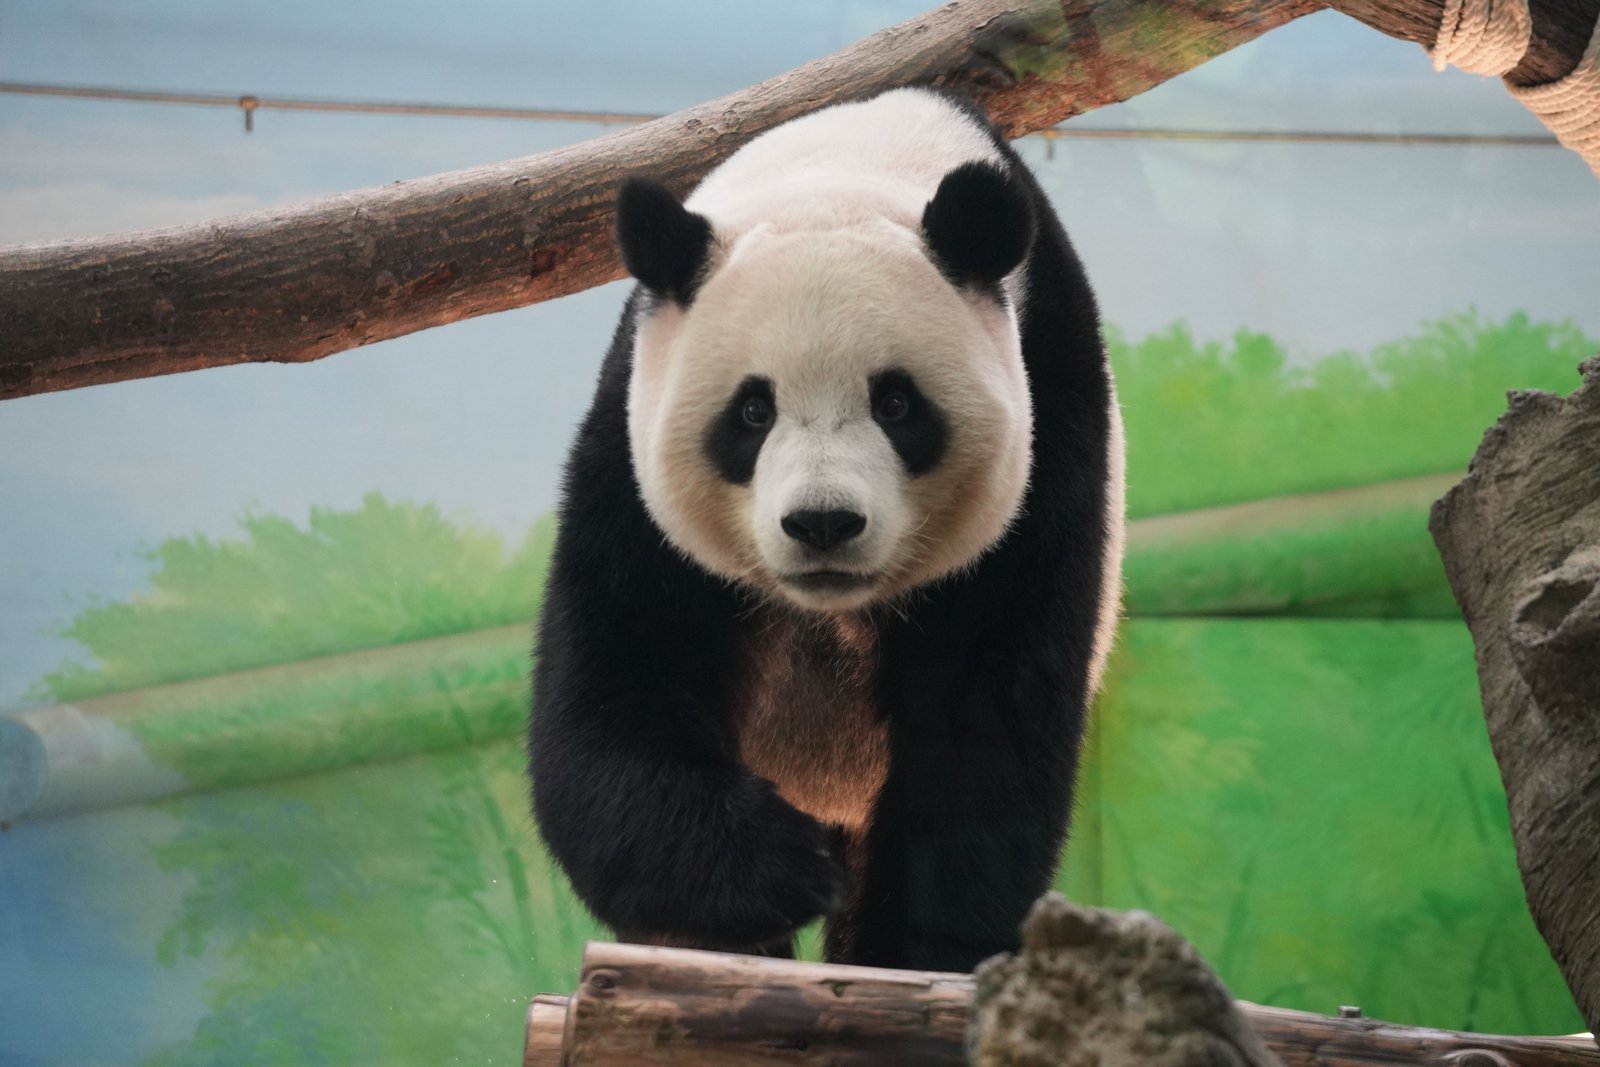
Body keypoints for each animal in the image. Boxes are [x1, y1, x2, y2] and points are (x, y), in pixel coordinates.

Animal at [530, 87, 1124, 974]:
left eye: (897, 403)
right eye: (752, 411)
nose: (822, 522)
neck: (848, 160)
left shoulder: (1052, 412)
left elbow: (983, 718)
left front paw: (911, 947)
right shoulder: (629, 444)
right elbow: (621, 679)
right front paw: (776, 869)